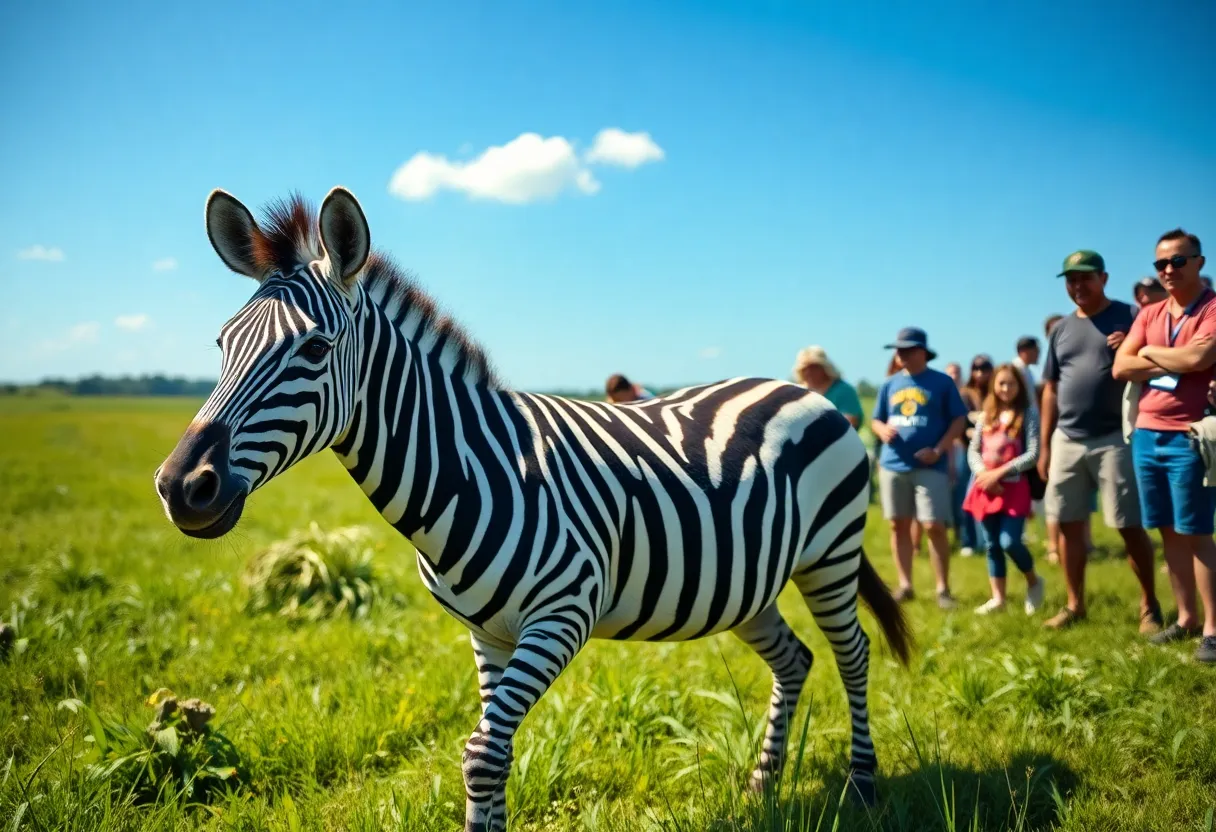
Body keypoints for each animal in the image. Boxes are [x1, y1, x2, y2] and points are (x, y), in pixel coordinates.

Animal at [154, 186, 913, 832]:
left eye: (314, 348)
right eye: (221, 345)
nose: (180, 486)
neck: (472, 469)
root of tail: (797, 389)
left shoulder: (561, 615)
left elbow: (482, 753)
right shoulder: (486, 633)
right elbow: (491, 759)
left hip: (831, 556)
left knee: (852, 655)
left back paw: (863, 786)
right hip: (747, 583)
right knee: (795, 659)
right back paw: (763, 783)